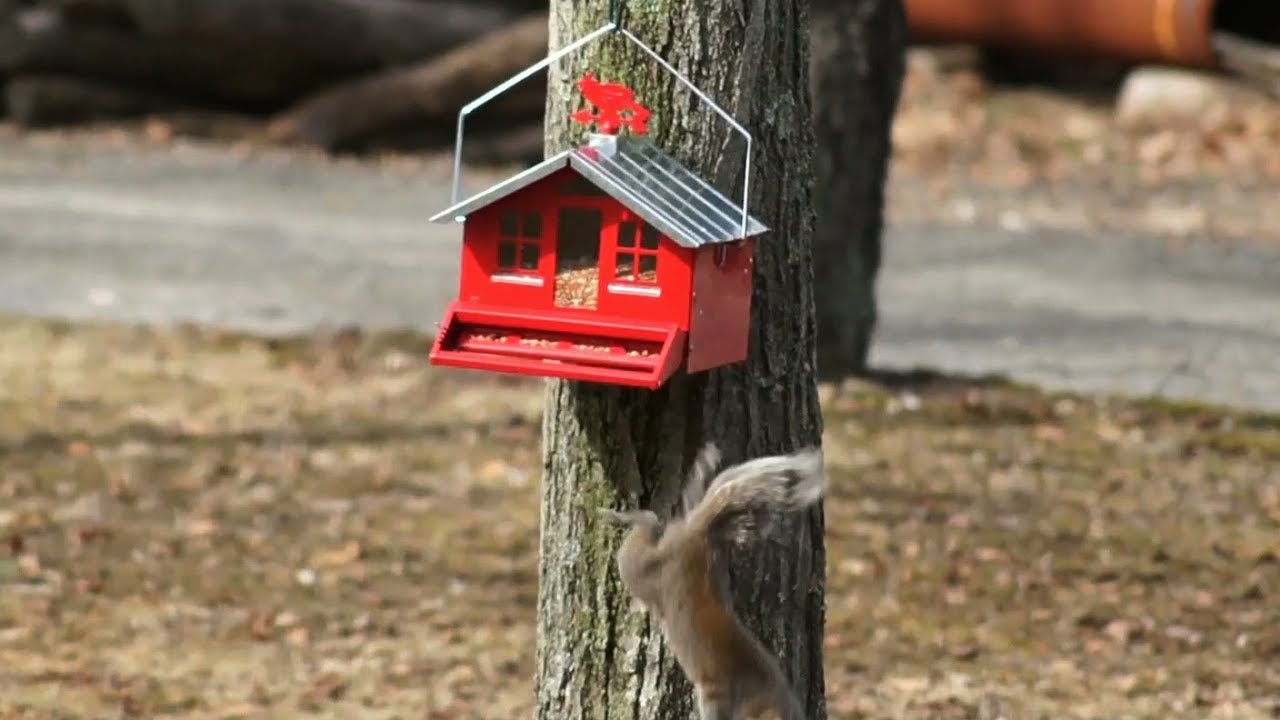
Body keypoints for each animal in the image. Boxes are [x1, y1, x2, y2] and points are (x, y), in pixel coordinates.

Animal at [601, 442, 827, 720]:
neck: (761, 693)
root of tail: (694, 535)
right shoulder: (717, 691)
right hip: (640, 569)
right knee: (647, 524)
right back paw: (623, 516)